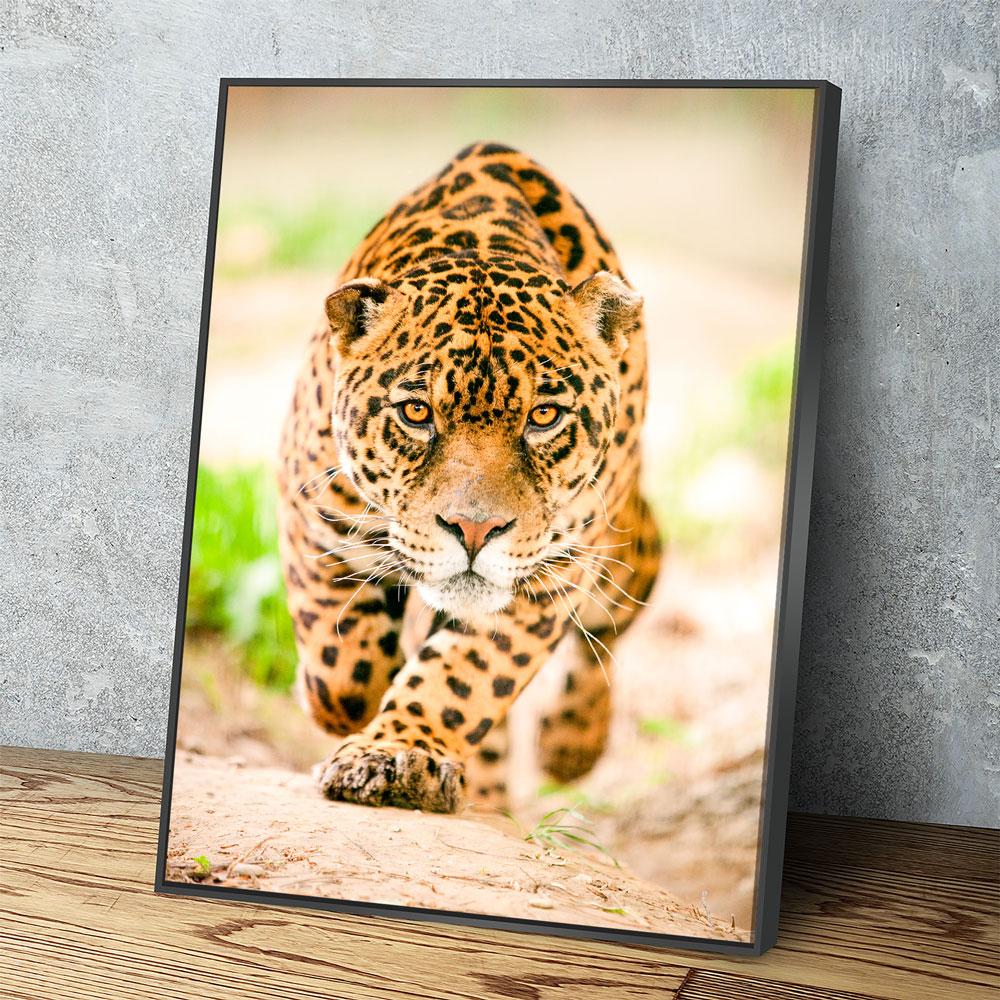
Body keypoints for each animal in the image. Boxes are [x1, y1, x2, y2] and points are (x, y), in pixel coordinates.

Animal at [277, 141, 661, 814]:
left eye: (543, 417)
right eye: (416, 413)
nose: (475, 531)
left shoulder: (547, 575)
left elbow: (464, 678)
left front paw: (397, 754)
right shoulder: (313, 513)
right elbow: (340, 667)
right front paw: (341, 708)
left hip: (616, 549)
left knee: (621, 601)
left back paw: (570, 743)